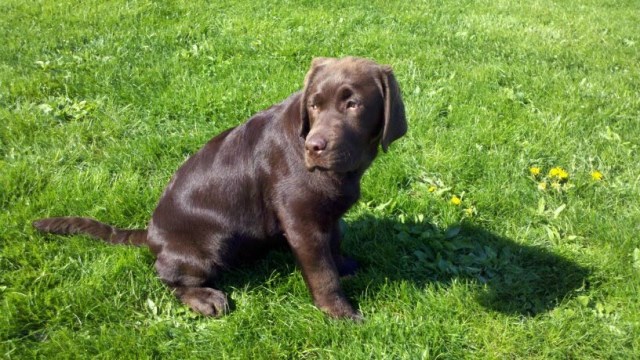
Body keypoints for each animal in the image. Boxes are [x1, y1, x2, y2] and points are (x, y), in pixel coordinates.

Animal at [32, 57, 404, 320]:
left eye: (352, 104)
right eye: (313, 104)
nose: (314, 147)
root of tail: (150, 235)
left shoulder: (327, 215)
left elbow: (335, 242)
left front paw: (344, 266)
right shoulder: (301, 223)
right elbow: (322, 272)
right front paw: (339, 312)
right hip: (212, 244)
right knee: (167, 277)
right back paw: (205, 298)